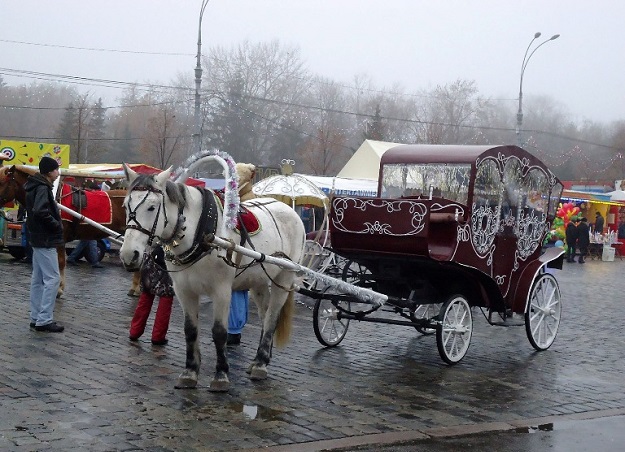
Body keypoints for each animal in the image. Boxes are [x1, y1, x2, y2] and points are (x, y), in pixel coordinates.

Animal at [117, 163, 304, 392]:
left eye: (152, 207)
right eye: (126, 206)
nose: (129, 255)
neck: (200, 234)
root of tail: (288, 210)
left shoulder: (222, 290)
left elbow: (219, 331)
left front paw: (221, 375)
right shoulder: (184, 290)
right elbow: (190, 330)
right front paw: (189, 372)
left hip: (284, 277)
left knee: (271, 318)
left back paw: (260, 364)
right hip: (258, 281)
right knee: (265, 314)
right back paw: (259, 360)